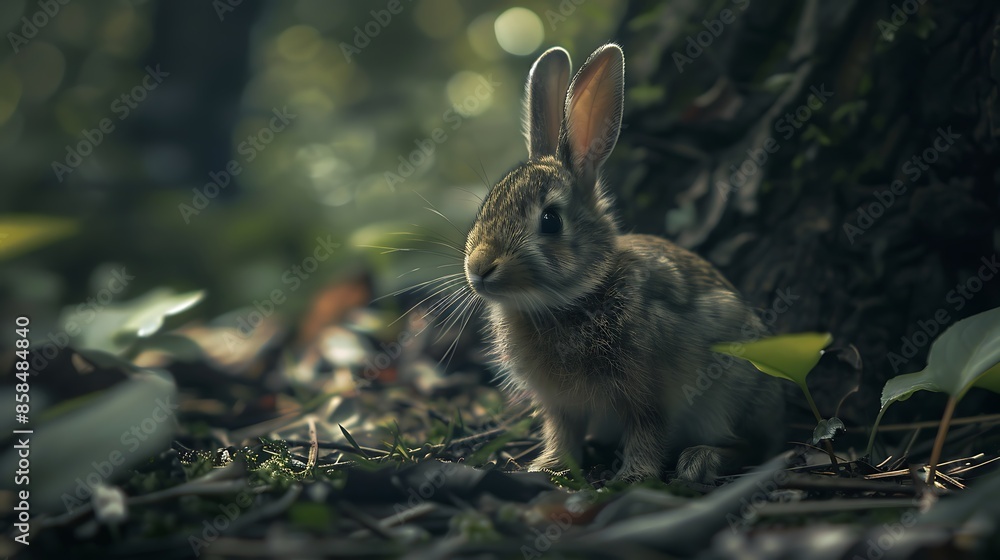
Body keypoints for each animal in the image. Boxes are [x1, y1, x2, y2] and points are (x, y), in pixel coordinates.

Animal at [462, 44, 784, 483]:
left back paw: (700, 460)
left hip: (730, 389)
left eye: (550, 221)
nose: (479, 267)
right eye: (486, 207)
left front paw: (633, 477)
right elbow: (562, 433)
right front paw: (547, 466)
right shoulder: (560, 406)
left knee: (751, 445)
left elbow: (648, 431)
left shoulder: (649, 392)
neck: (574, 298)